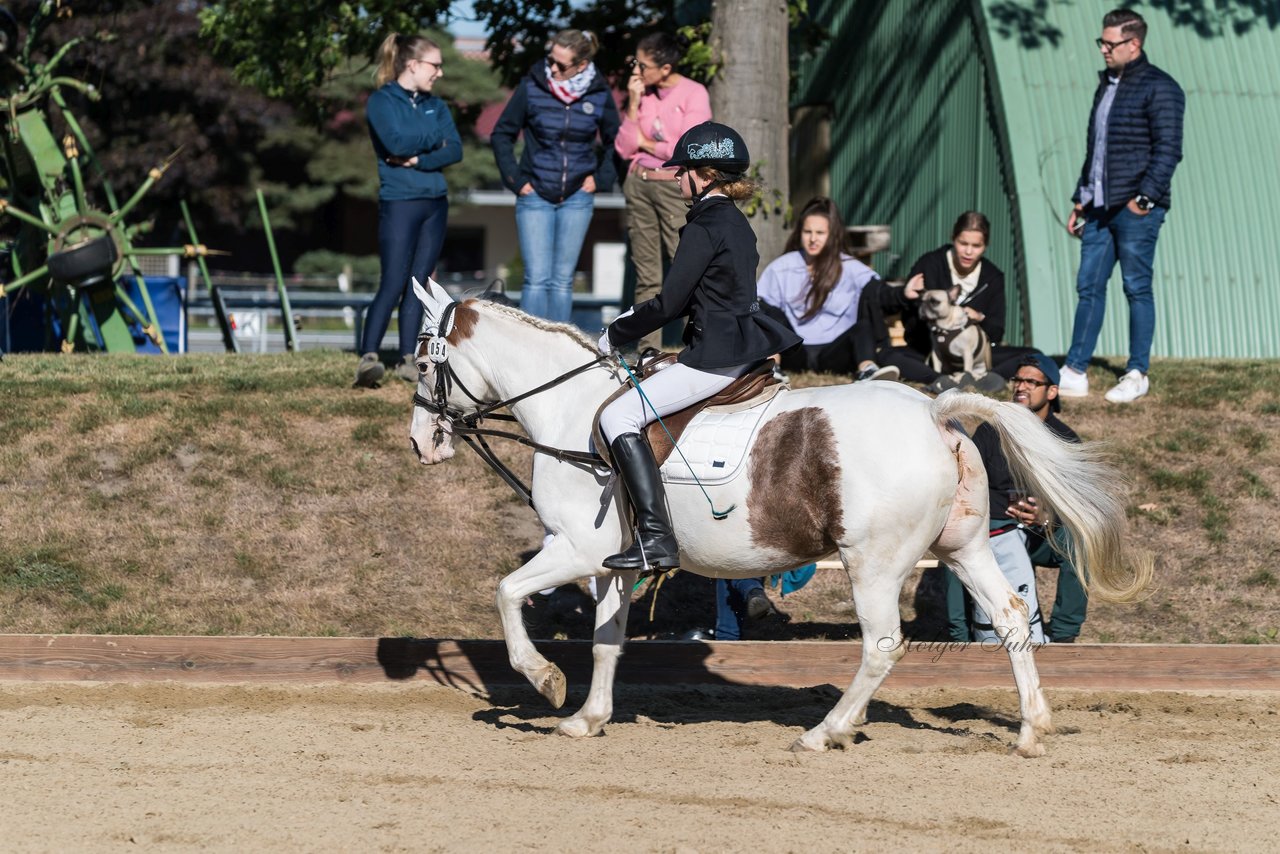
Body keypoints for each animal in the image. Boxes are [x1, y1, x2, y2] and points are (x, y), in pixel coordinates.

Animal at [407, 280, 1152, 752]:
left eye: (419, 362)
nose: (422, 444)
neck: (571, 410)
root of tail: (935, 411)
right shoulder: (615, 564)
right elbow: (607, 639)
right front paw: (587, 718)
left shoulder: (576, 550)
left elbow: (506, 593)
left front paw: (543, 680)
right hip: (966, 548)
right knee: (1011, 619)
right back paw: (1030, 730)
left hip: (875, 564)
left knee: (883, 644)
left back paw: (826, 732)